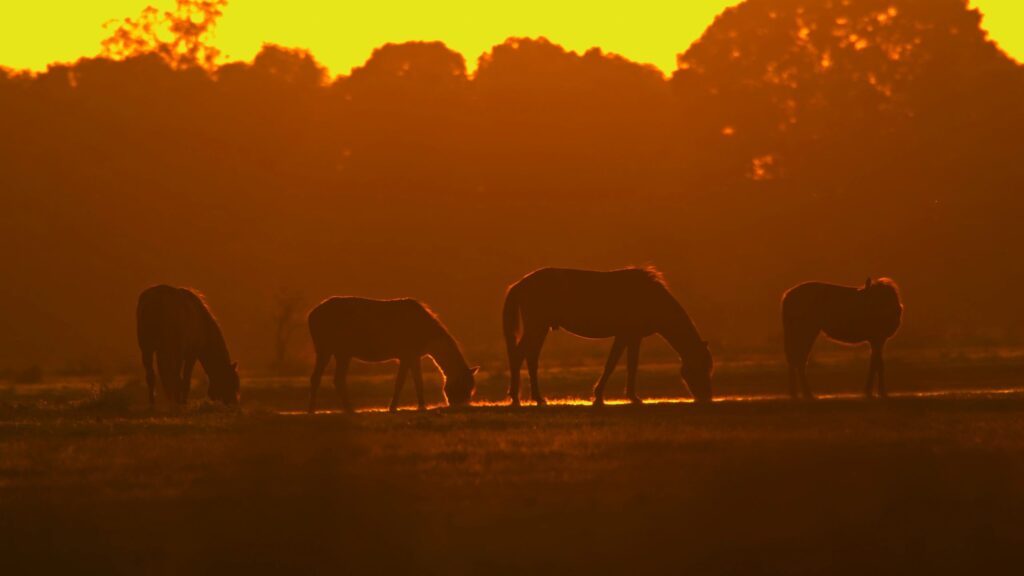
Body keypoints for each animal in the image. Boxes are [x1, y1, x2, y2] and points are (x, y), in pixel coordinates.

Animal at [307, 297, 478, 413]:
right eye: (464, 387)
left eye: (471, 389)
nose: (460, 407)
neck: (427, 334)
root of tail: (311, 315)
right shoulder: (405, 355)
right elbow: (400, 382)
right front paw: (393, 407)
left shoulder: (414, 357)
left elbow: (419, 381)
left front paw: (422, 407)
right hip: (328, 349)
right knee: (328, 378)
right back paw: (340, 410)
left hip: (339, 352)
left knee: (329, 379)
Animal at [502, 267, 713, 406]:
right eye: (700, 368)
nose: (706, 398)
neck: (650, 296)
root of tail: (521, 283)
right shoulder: (626, 336)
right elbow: (616, 365)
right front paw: (605, 397)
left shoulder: (630, 337)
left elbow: (626, 365)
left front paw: (626, 397)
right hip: (537, 326)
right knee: (519, 355)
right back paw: (519, 398)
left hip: (540, 328)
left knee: (530, 358)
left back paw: (536, 398)